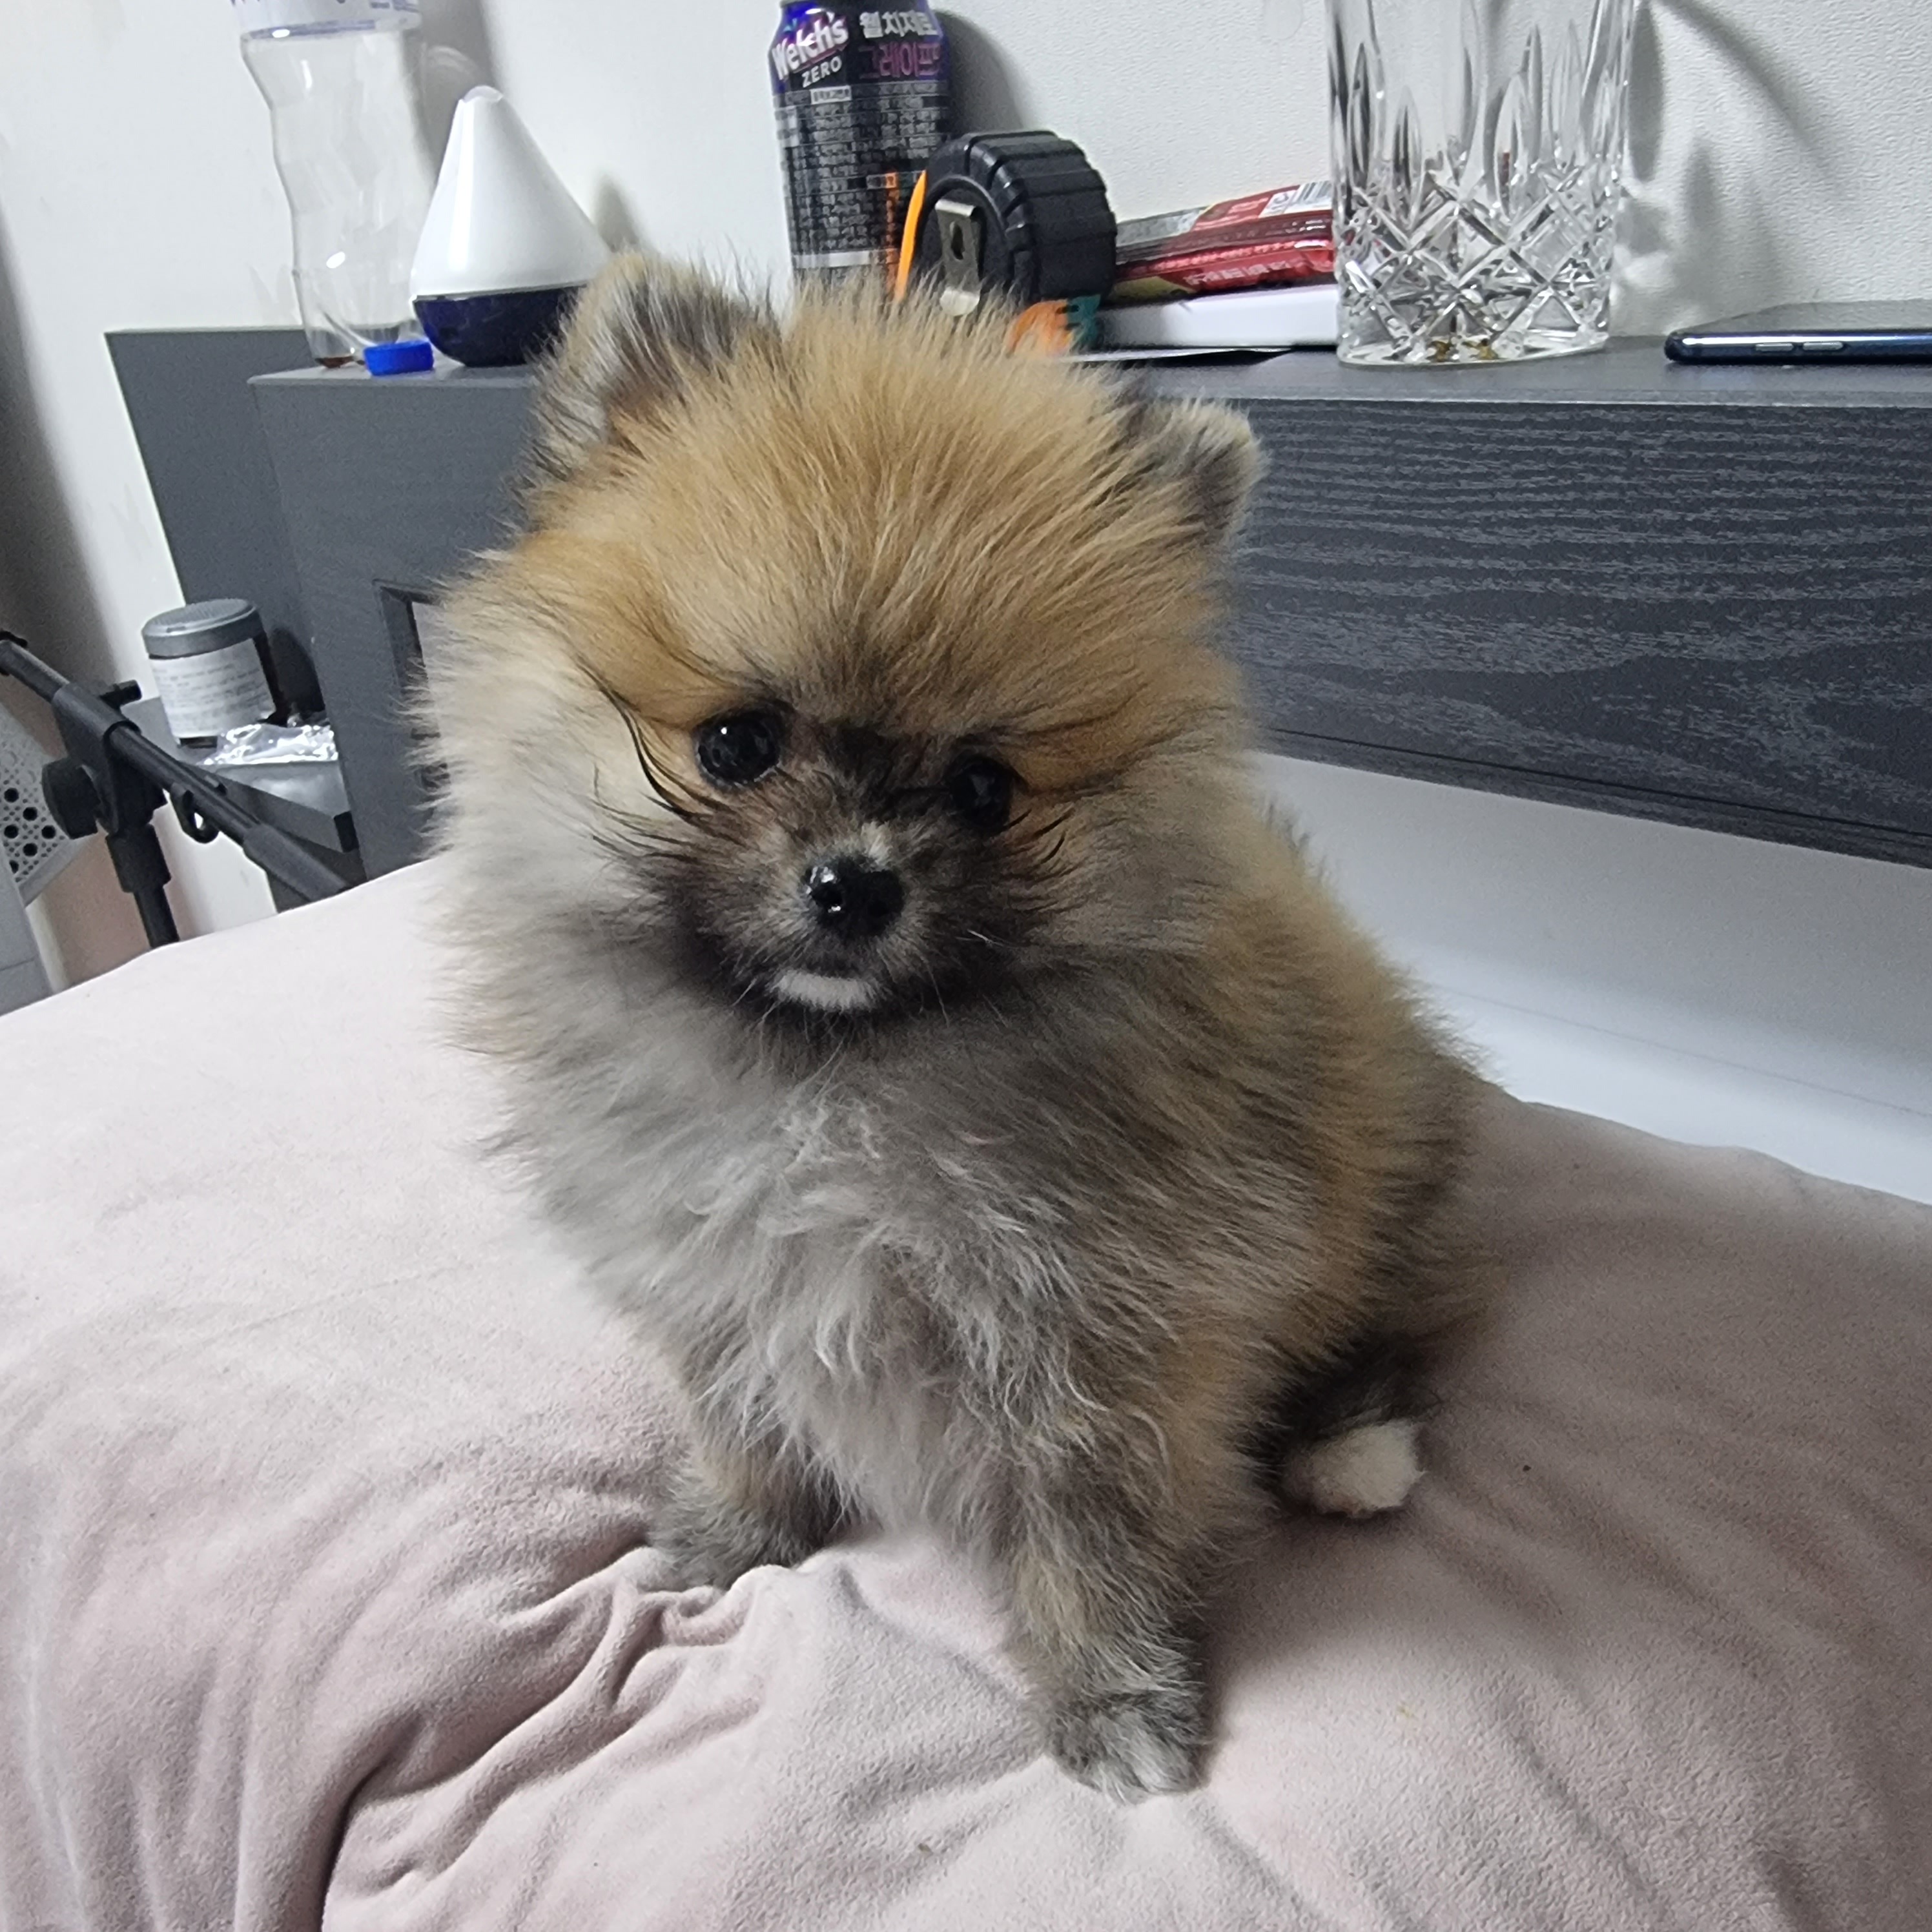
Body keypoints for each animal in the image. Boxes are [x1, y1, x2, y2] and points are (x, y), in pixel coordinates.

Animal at [434, 257, 1479, 1800]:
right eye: (737, 743)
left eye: (985, 788)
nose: (853, 883)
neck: (830, 1082)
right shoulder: (716, 1291)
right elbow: (741, 1421)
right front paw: (734, 1531)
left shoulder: (1101, 1344)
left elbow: (1091, 1538)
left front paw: (1112, 1697)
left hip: (1377, 1197)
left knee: (1389, 1324)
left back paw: (1348, 1451)